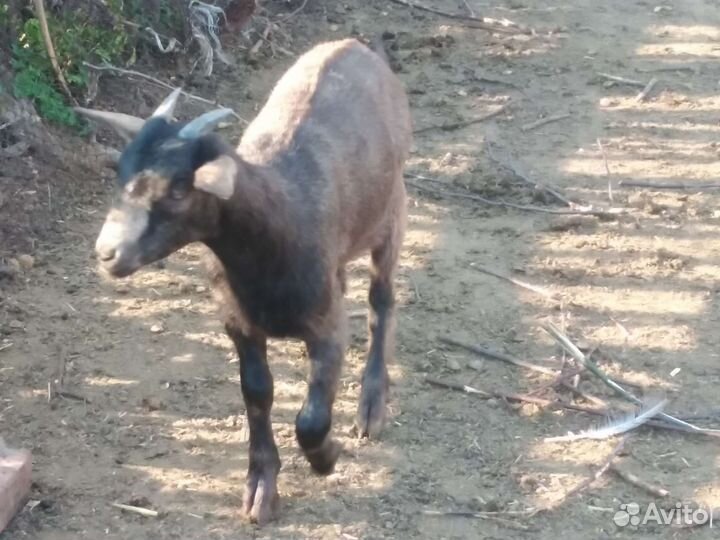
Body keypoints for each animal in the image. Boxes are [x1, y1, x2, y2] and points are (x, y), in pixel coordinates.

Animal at [75, 38, 412, 524]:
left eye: (180, 188)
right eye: (121, 175)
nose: (108, 252)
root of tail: (349, 43)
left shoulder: (327, 326)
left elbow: (311, 418)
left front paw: (326, 458)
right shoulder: (238, 323)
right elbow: (257, 393)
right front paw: (260, 487)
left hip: (392, 212)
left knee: (381, 300)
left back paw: (371, 406)